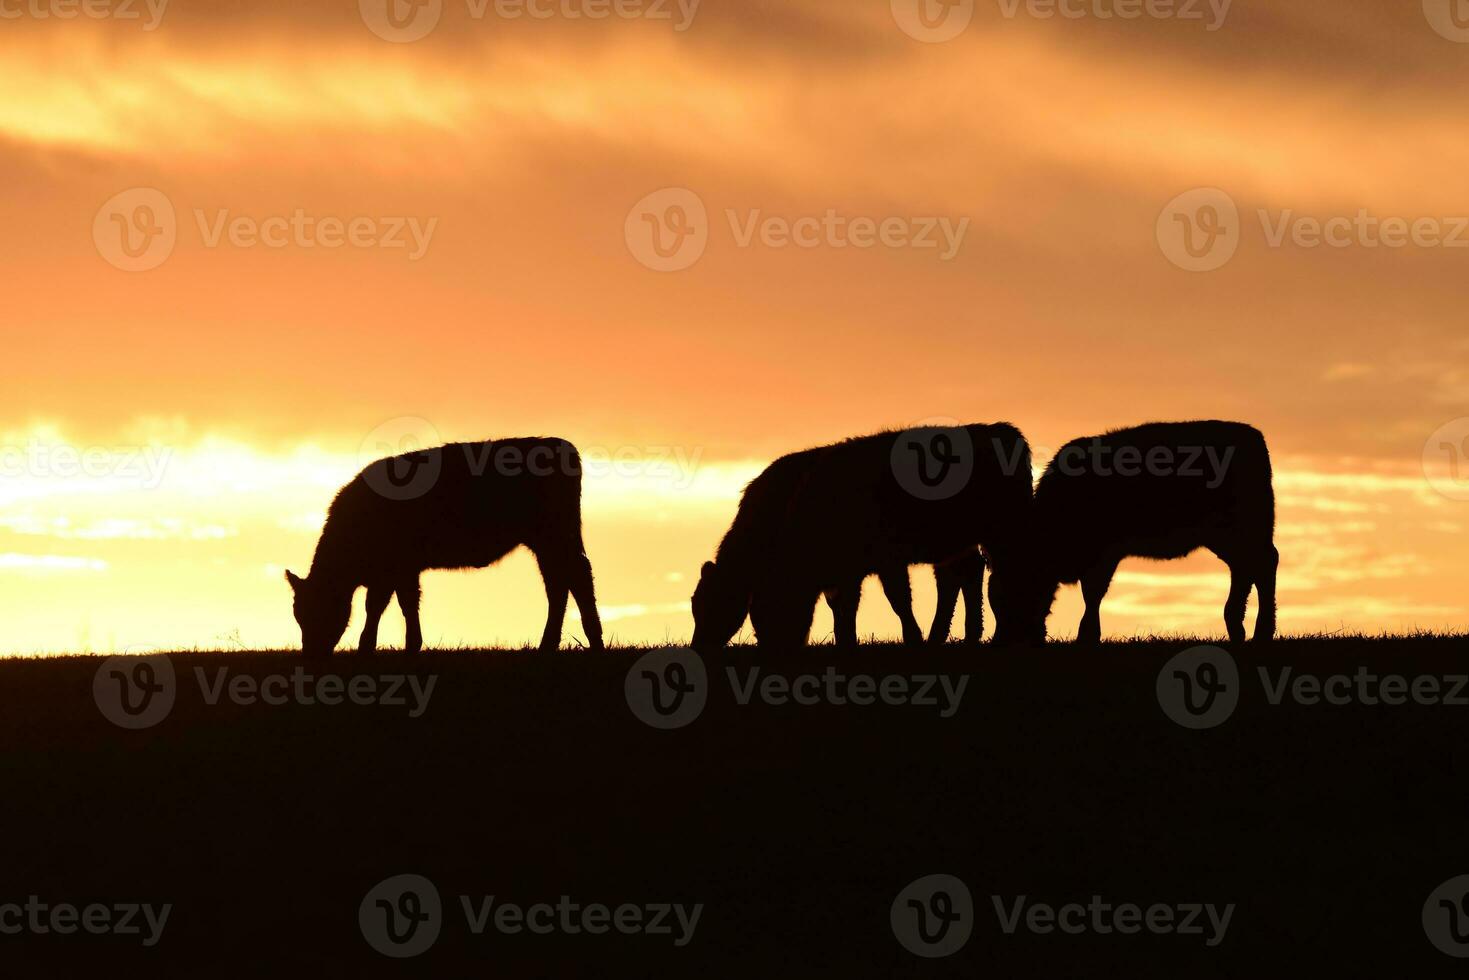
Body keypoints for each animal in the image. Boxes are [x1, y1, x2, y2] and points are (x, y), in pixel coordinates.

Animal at [286, 437, 602, 658]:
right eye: (298, 614)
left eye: (319, 609)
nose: (311, 653)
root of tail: (560, 445)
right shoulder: (399, 571)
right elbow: (401, 603)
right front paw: (405, 644)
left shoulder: (394, 569)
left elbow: (383, 604)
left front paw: (375, 646)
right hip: (547, 543)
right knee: (560, 583)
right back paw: (552, 643)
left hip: (553, 537)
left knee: (577, 577)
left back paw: (589, 640)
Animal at [696, 423, 1034, 646]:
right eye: (695, 605)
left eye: (717, 602)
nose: (700, 646)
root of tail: (999, 430)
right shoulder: (846, 573)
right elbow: (843, 608)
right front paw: (847, 642)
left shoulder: (886, 561)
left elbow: (898, 600)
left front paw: (912, 638)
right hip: (961, 543)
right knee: (964, 576)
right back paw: (961, 635)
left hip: (1004, 534)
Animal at [1010, 420, 1275, 643]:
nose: (1021, 638)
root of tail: (1253, 436)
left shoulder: (1104, 554)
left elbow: (1093, 593)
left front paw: (1087, 635)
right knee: (1246, 569)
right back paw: (1238, 627)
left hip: (1240, 530)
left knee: (1263, 565)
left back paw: (1260, 632)